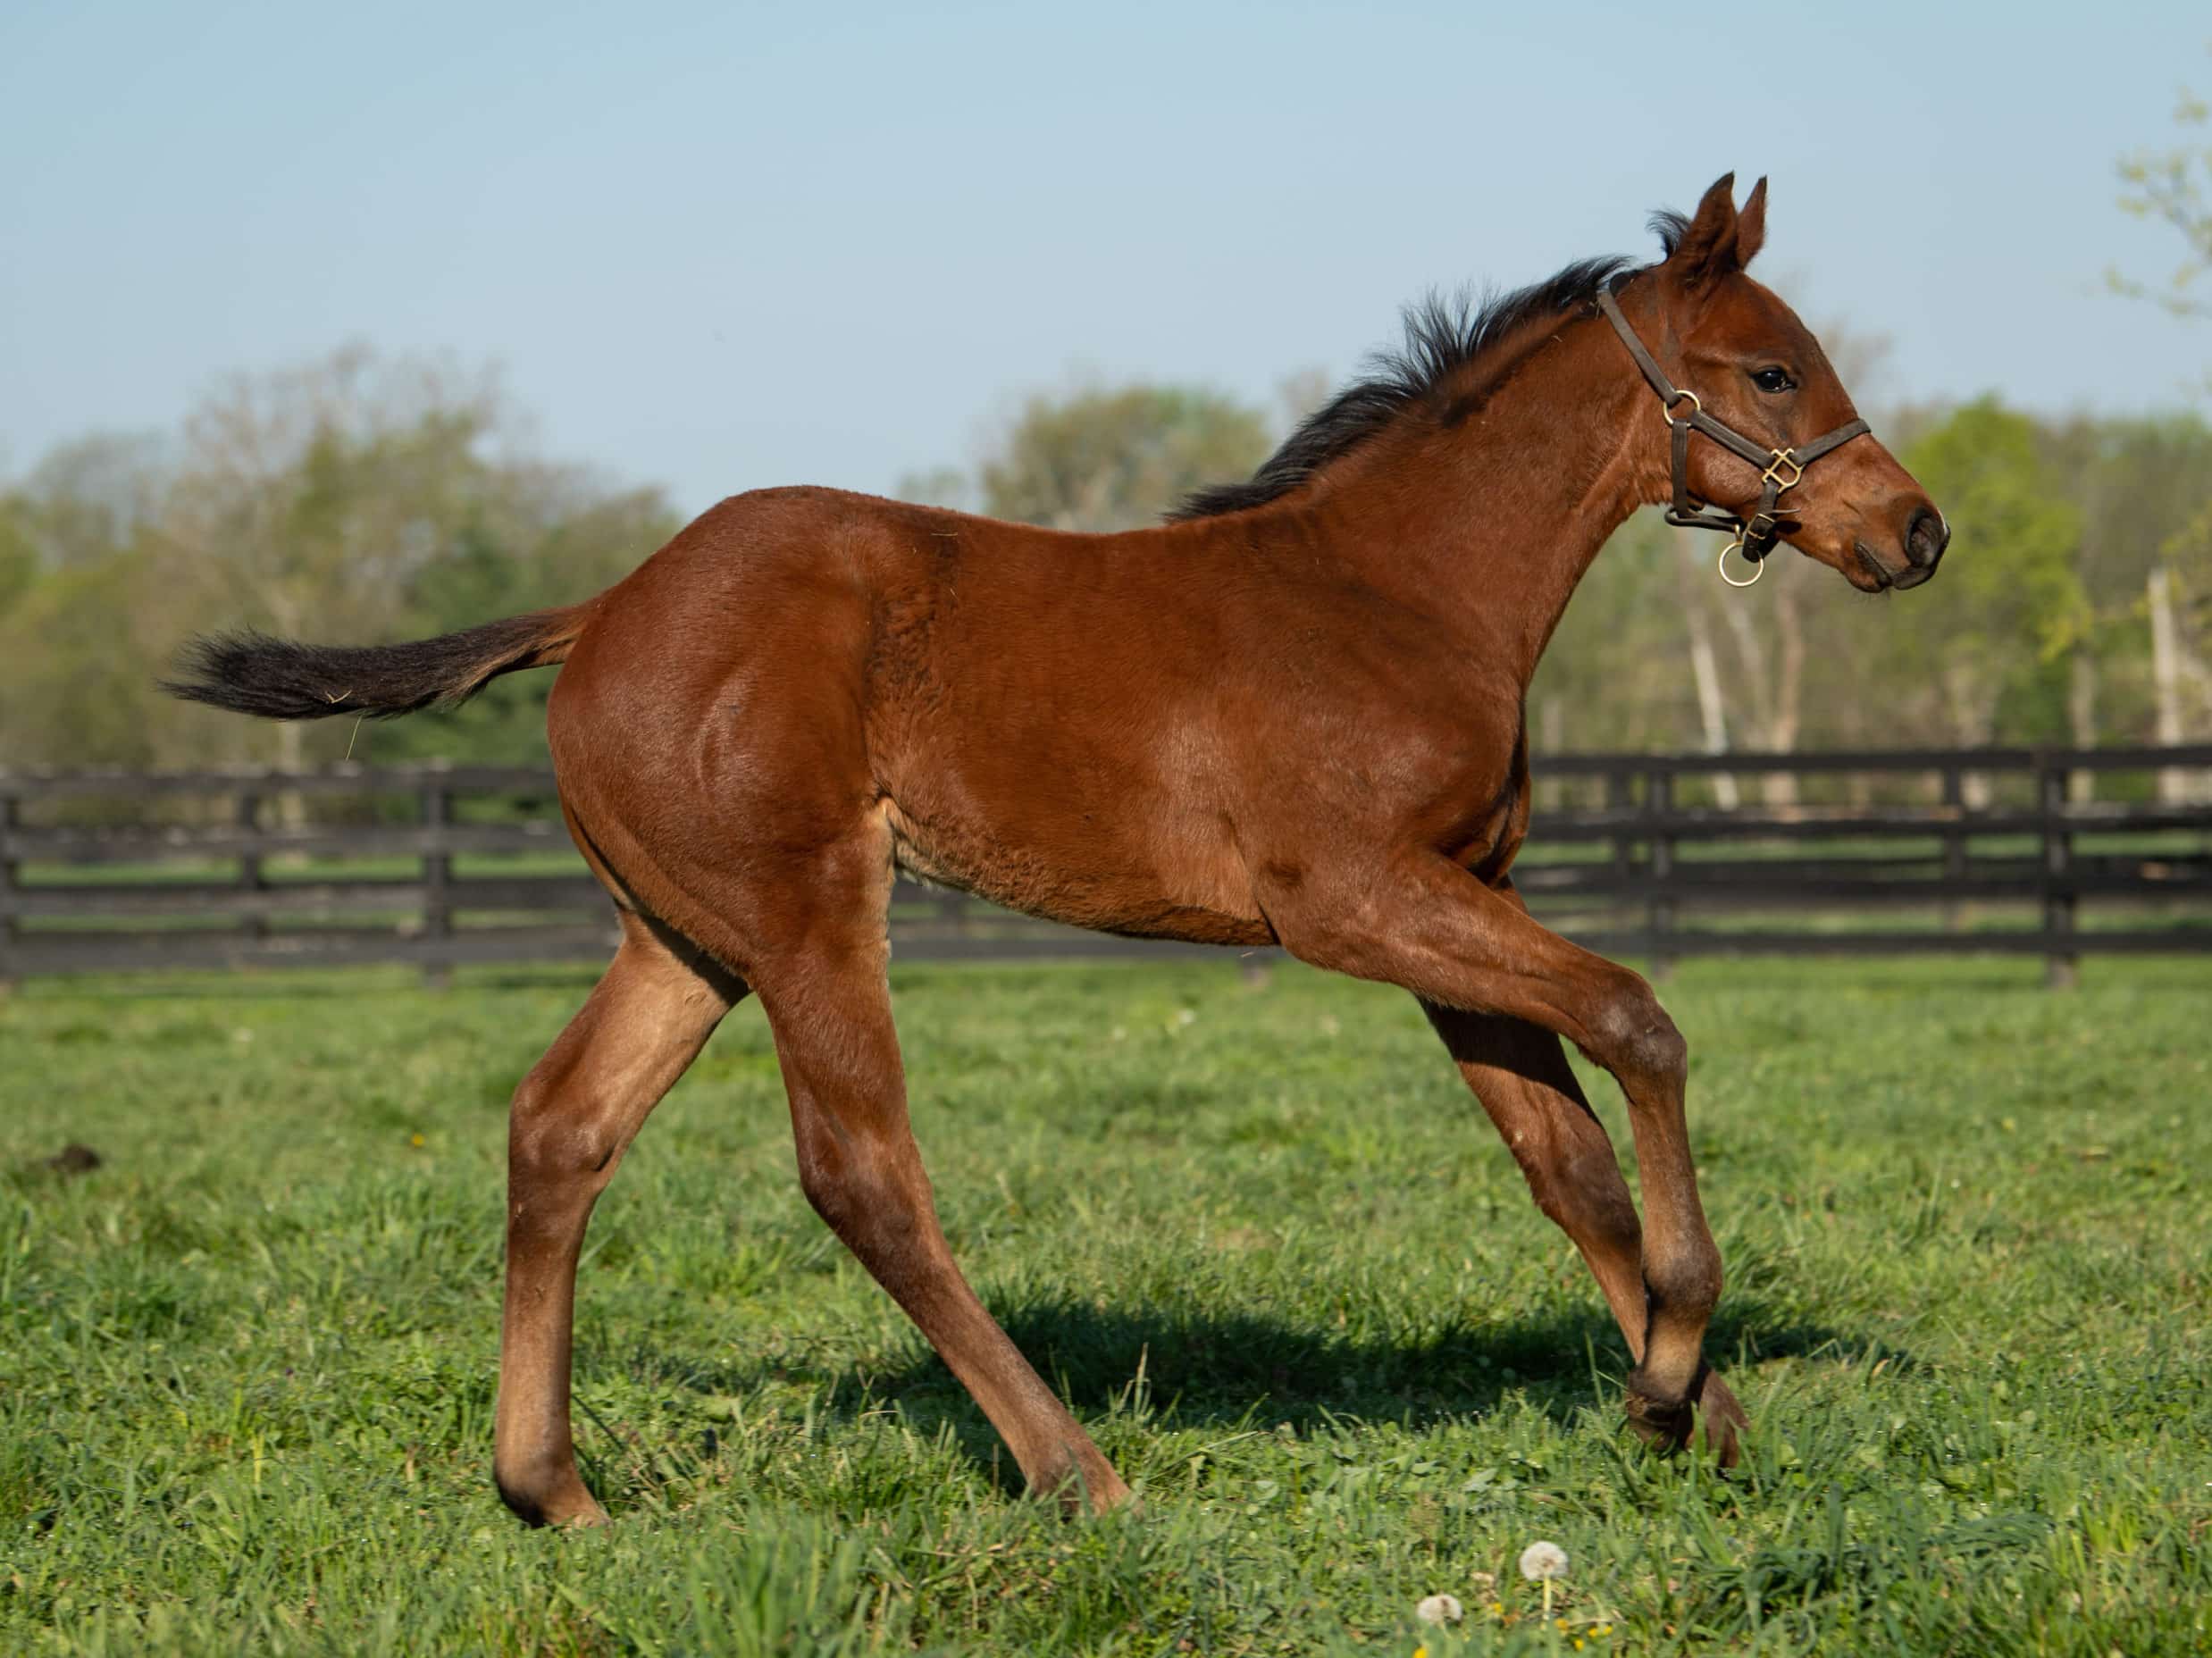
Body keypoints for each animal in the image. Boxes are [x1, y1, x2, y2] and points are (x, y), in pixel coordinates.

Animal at [168, 175, 1937, 1529]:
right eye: (1771, 374)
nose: (1914, 530)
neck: (1397, 592)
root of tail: (606, 607)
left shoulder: (1458, 902)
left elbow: (1563, 1160)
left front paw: (1692, 1415)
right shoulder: (1356, 902)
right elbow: (1642, 1019)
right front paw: (1676, 1369)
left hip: (682, 939)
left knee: (560, 1131)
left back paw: (555, 1491)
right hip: (807, 915)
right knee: (860, 1173)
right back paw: (1075, 1469)